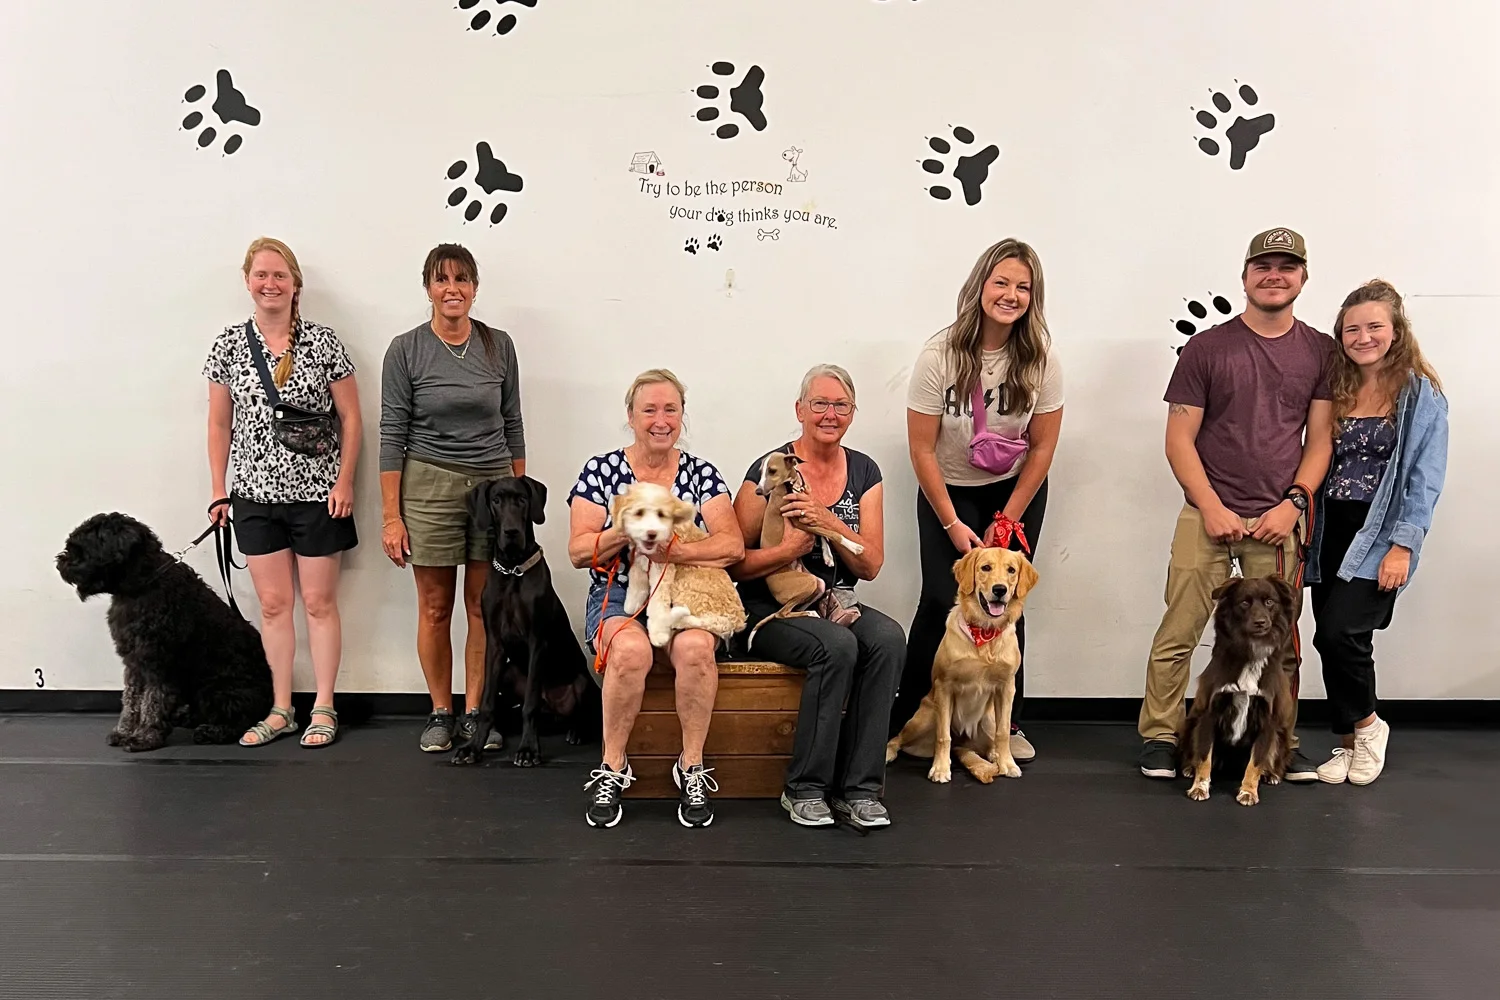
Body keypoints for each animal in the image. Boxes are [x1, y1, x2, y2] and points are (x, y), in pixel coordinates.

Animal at [54, 512, 273, 751]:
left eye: (81, 547)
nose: (60, 563)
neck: (142, 585)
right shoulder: (134, 662)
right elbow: (131, 699)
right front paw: (124, 731)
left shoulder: (159, 663)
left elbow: (153, 701)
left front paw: (144, 737)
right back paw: (185, 716)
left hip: (216, 688)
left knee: (242, 719)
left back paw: (212, 731)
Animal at [457, 476, 599, 767]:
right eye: (496, 500)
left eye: (522, 500)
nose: (511, 532)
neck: (513, 569)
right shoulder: (495, 644)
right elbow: (487, 703)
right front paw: (473, 747)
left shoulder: (537, 641)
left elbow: (530, 705)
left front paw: (528, 750)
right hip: (509, 673)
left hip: (580, 681)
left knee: (578, 714)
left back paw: (576, 732)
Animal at [611, 482, 746, 647]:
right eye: (639, 512)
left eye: (661, 514)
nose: (651, 533)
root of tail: (736, 621)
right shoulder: (639, 560)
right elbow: (636, 585)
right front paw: (631, 606)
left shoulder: (662, 570)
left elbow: (657, 603)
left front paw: (658, 633)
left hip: (684, 591)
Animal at [886, 546, 1038, 783]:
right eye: (986, 567)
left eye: (1011, 570)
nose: (1000, 589)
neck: (985, 631)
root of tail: (963, 743)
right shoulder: (945, 686)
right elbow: (943, 736)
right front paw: (940, 769)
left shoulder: (1006, 687)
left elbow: (1003, 732)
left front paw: (1007, 763)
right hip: (926, 716)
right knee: (899, 738)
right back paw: (889, 752)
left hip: (988, 719)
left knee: (991, 741)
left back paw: (995, 755)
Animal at [1178, 574, 1298, 807]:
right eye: (1244, 603)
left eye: (1270, 602)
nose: (1261, 622)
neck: (1250, 652)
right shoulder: (1209, 713)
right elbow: (1204, 757)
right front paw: (1199, 786)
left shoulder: (1267, 719)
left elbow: (1256, 762)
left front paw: (1249, 791)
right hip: (1191, 722)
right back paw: (1189, 768)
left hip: (1280, 733)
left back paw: (1271, 774)